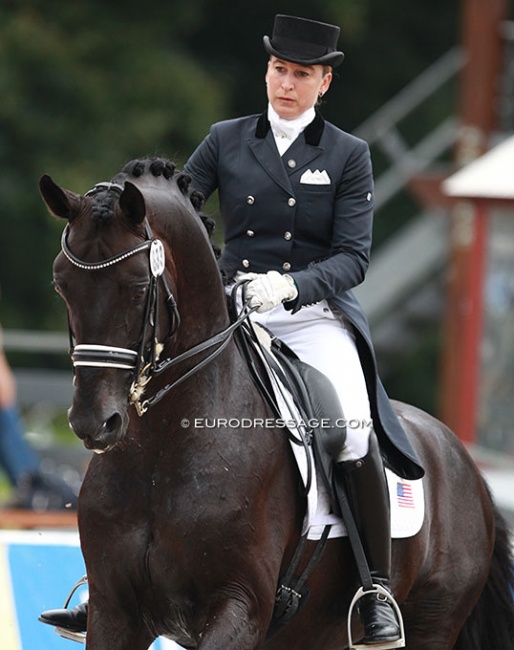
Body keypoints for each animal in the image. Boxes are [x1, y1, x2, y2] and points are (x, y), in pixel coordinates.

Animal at [40, 158, 512, 648]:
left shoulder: (239, 608)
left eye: (136, 288)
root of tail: (465, 463)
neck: (162, 446)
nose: (93, 422)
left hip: (431, 623)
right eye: (61, 286)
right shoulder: (114, 612)